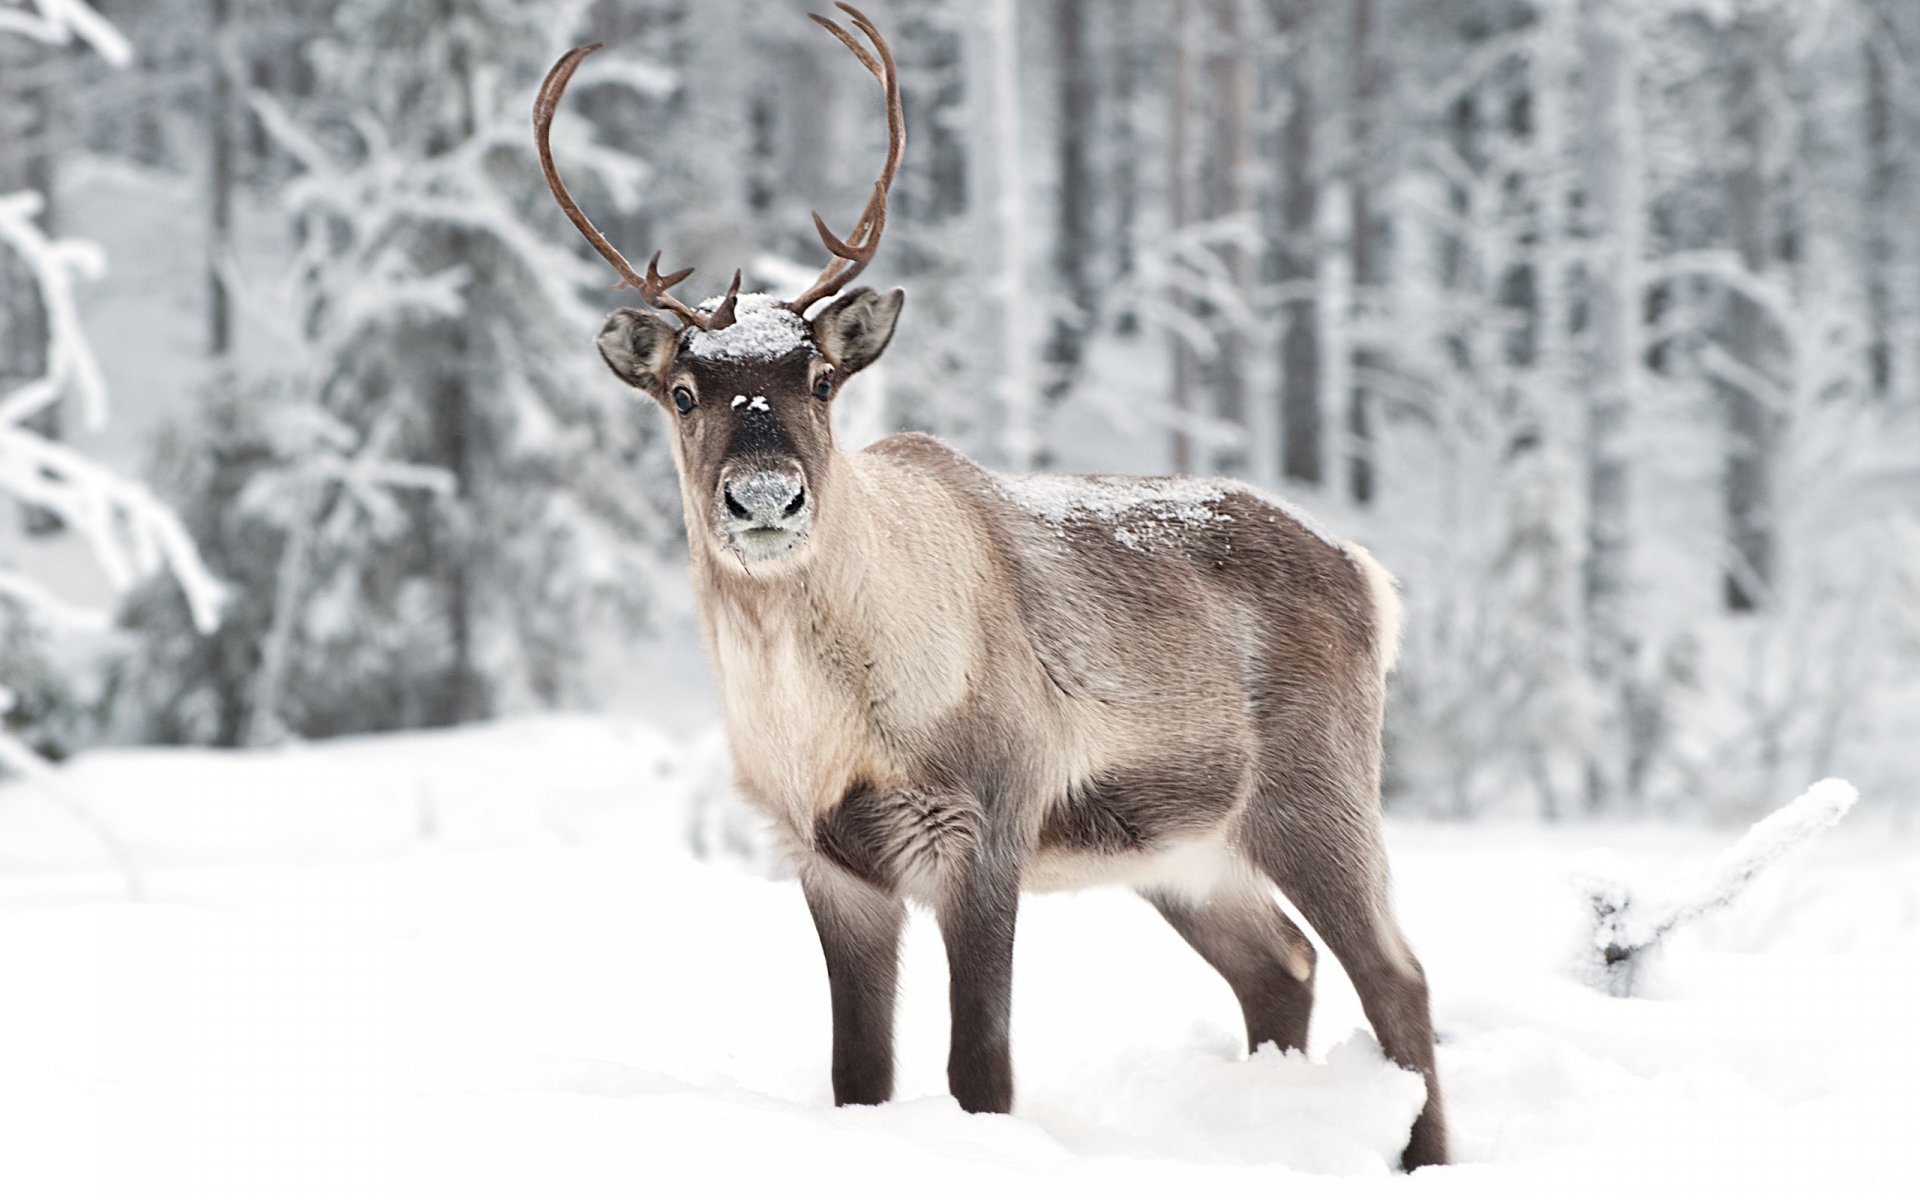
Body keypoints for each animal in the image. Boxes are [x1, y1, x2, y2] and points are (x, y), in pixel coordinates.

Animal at [534, 3, 1448, 1171]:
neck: (825, 721)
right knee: (1281, 967)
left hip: (1315, 792)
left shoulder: (983, 827)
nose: (765, 499)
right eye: (684, 391)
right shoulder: (828, 862)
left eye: (821, 380)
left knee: (1397, 976)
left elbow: (982, 1072)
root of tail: (1366, 575)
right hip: (1185, 852)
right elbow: (859, 1076)